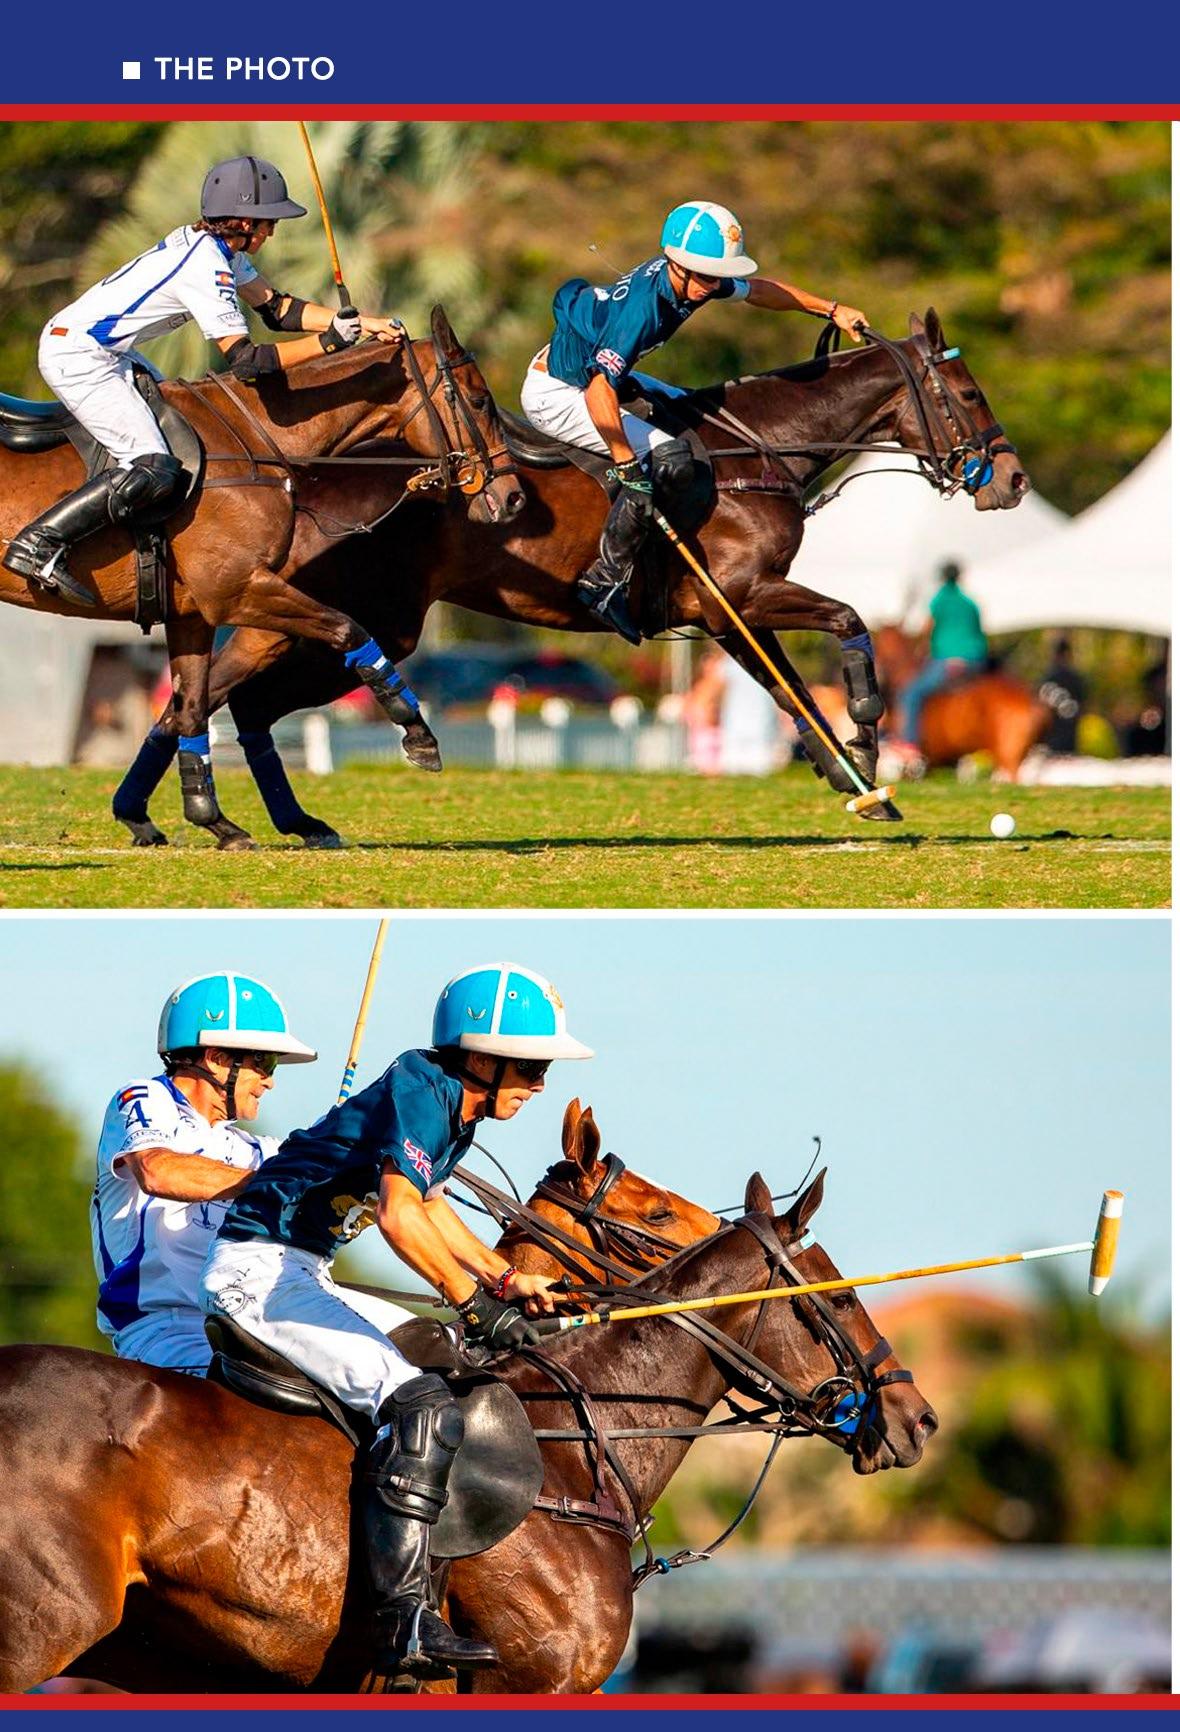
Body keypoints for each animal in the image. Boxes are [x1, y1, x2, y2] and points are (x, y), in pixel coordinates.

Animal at [0, 306, 522, 848]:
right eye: (480, 401)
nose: (512, 498)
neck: (253, 441)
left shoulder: (194, 613)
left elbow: (189, 705)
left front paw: (211, 818)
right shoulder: (237, 591)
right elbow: (348, 628)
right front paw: (418, 735)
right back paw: (33, 554)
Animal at [112, 307, 1028, 847]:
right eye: (969, 391)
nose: (1013, 480)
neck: (757, 450)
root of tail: (313, 471)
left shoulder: (728, 616)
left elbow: (789, 690)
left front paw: (856, 782)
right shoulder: (739, 595)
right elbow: (848, 622)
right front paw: (868, 739)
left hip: (323, 617)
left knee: (221, 700)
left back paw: (201, 816)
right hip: (338, 617)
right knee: (220, 697)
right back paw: (194, 814)